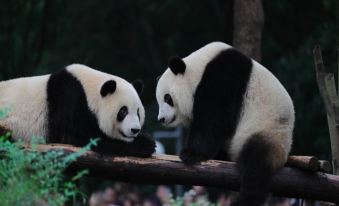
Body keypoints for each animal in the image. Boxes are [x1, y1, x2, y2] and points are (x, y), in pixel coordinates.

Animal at [0, 63, 156, 157]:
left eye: (138, 113)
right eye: (123, 111)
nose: (135, 130)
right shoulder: (69, 101)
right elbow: (84, 137)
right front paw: (146, 144)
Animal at [156, 41, 294, 206]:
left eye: (167, 98)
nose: (161, 119)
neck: (199, 69)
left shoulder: (223, 78)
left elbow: (213, 119)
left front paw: (190, 154)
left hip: (267, 129)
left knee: (256, 164)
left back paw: (245, 200)